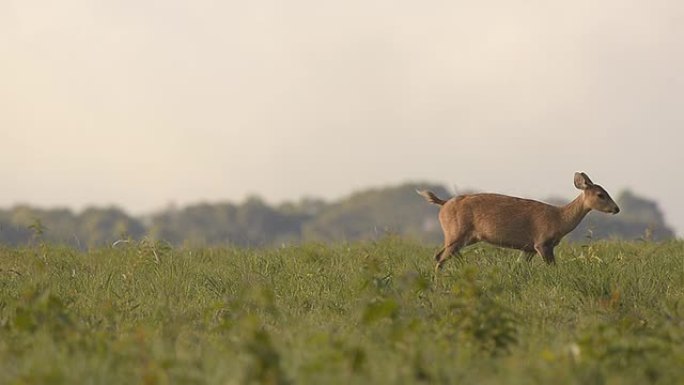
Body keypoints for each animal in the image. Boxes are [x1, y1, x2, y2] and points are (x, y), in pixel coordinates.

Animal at [416, 172, 620, 270]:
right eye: (600, 194)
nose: (617, 209)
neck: (559, 219)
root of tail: (443, 203)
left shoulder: (528, 248)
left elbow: (519, 266)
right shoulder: (542, 242)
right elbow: (553, 267)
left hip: (463, 236)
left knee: (442, 255)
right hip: (455, 232)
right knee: (440, 257)